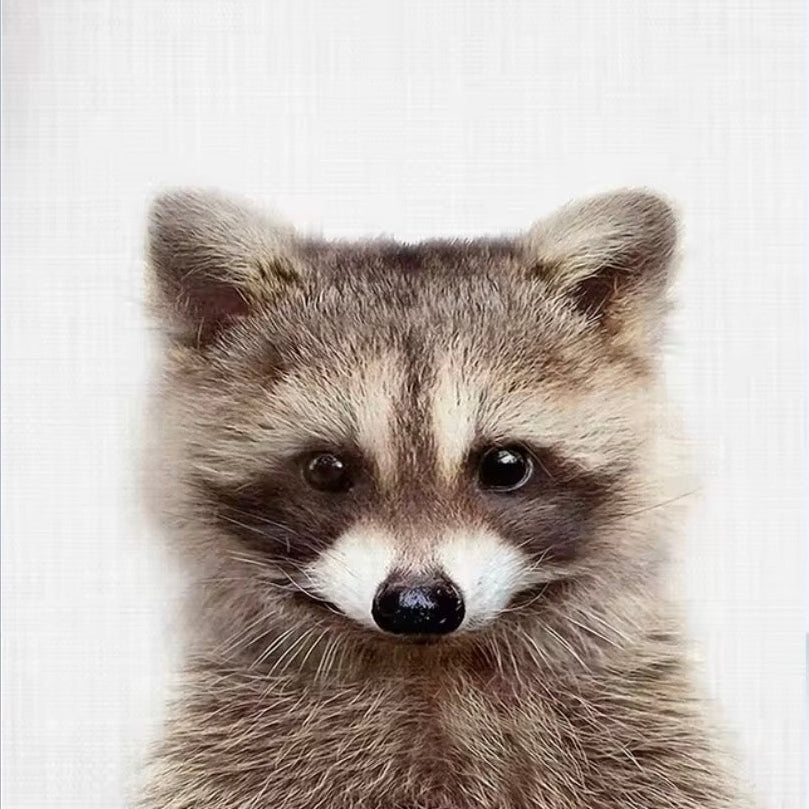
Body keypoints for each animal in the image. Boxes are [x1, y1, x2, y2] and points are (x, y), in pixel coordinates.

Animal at [140, 188, 743, 809]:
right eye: (328, 469)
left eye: (505, 465)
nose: (418, 605)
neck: (432, 662)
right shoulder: (234, 747)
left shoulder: (645, 731)